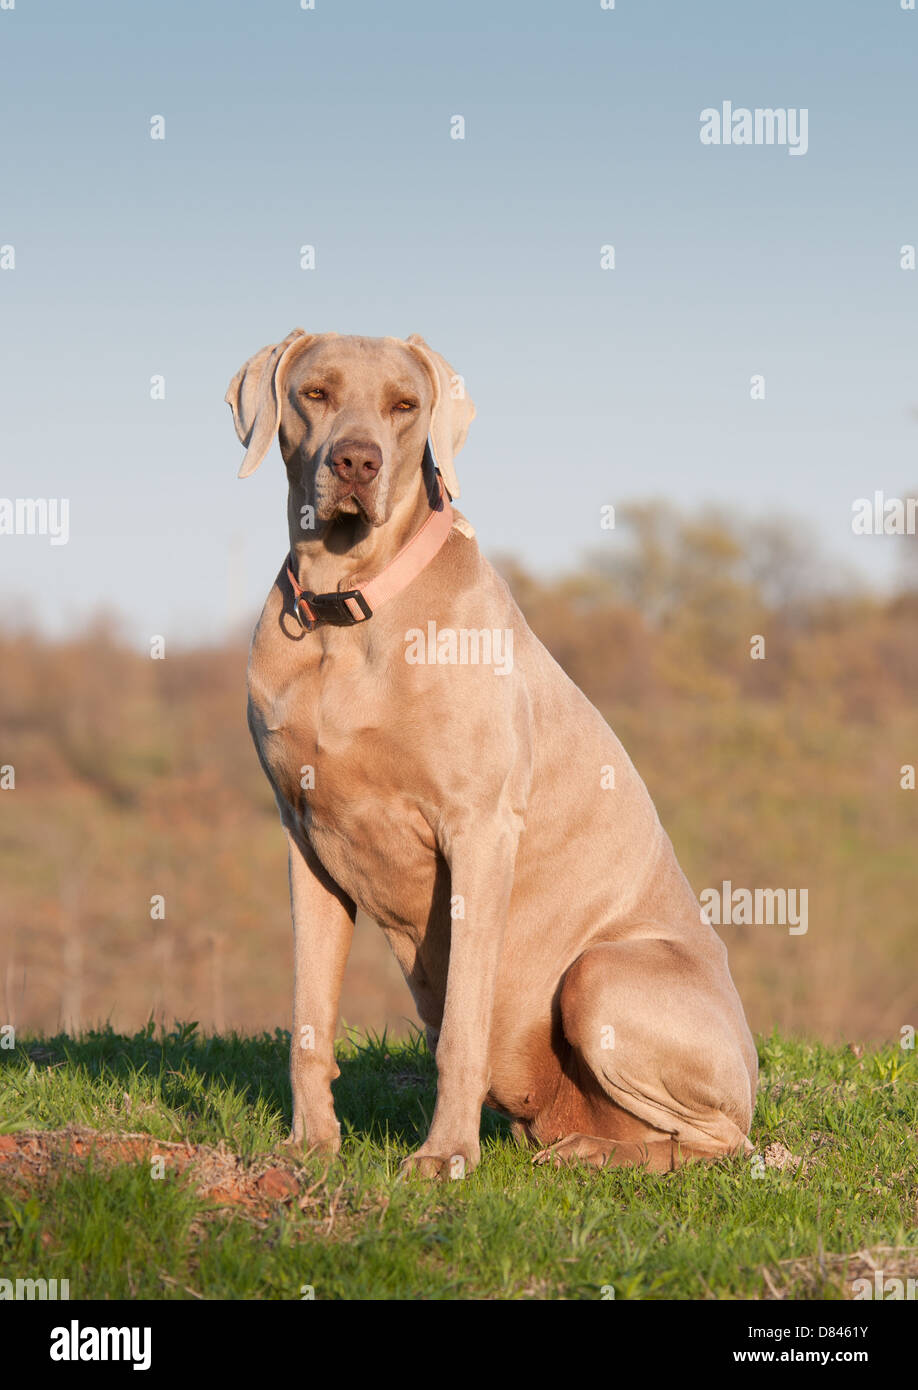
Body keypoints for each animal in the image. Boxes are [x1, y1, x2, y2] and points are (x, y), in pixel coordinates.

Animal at [225, 330, 756, 1178]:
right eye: (314, 393)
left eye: (405, 405)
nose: (356, 462)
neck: (349, 610)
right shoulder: (304, 837)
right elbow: (310, 1019)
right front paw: (311, 1144)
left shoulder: (477, 832)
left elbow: (463, 1027)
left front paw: (444, 1156)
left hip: (603, 975)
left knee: (723, 1144)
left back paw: (588, 1153)